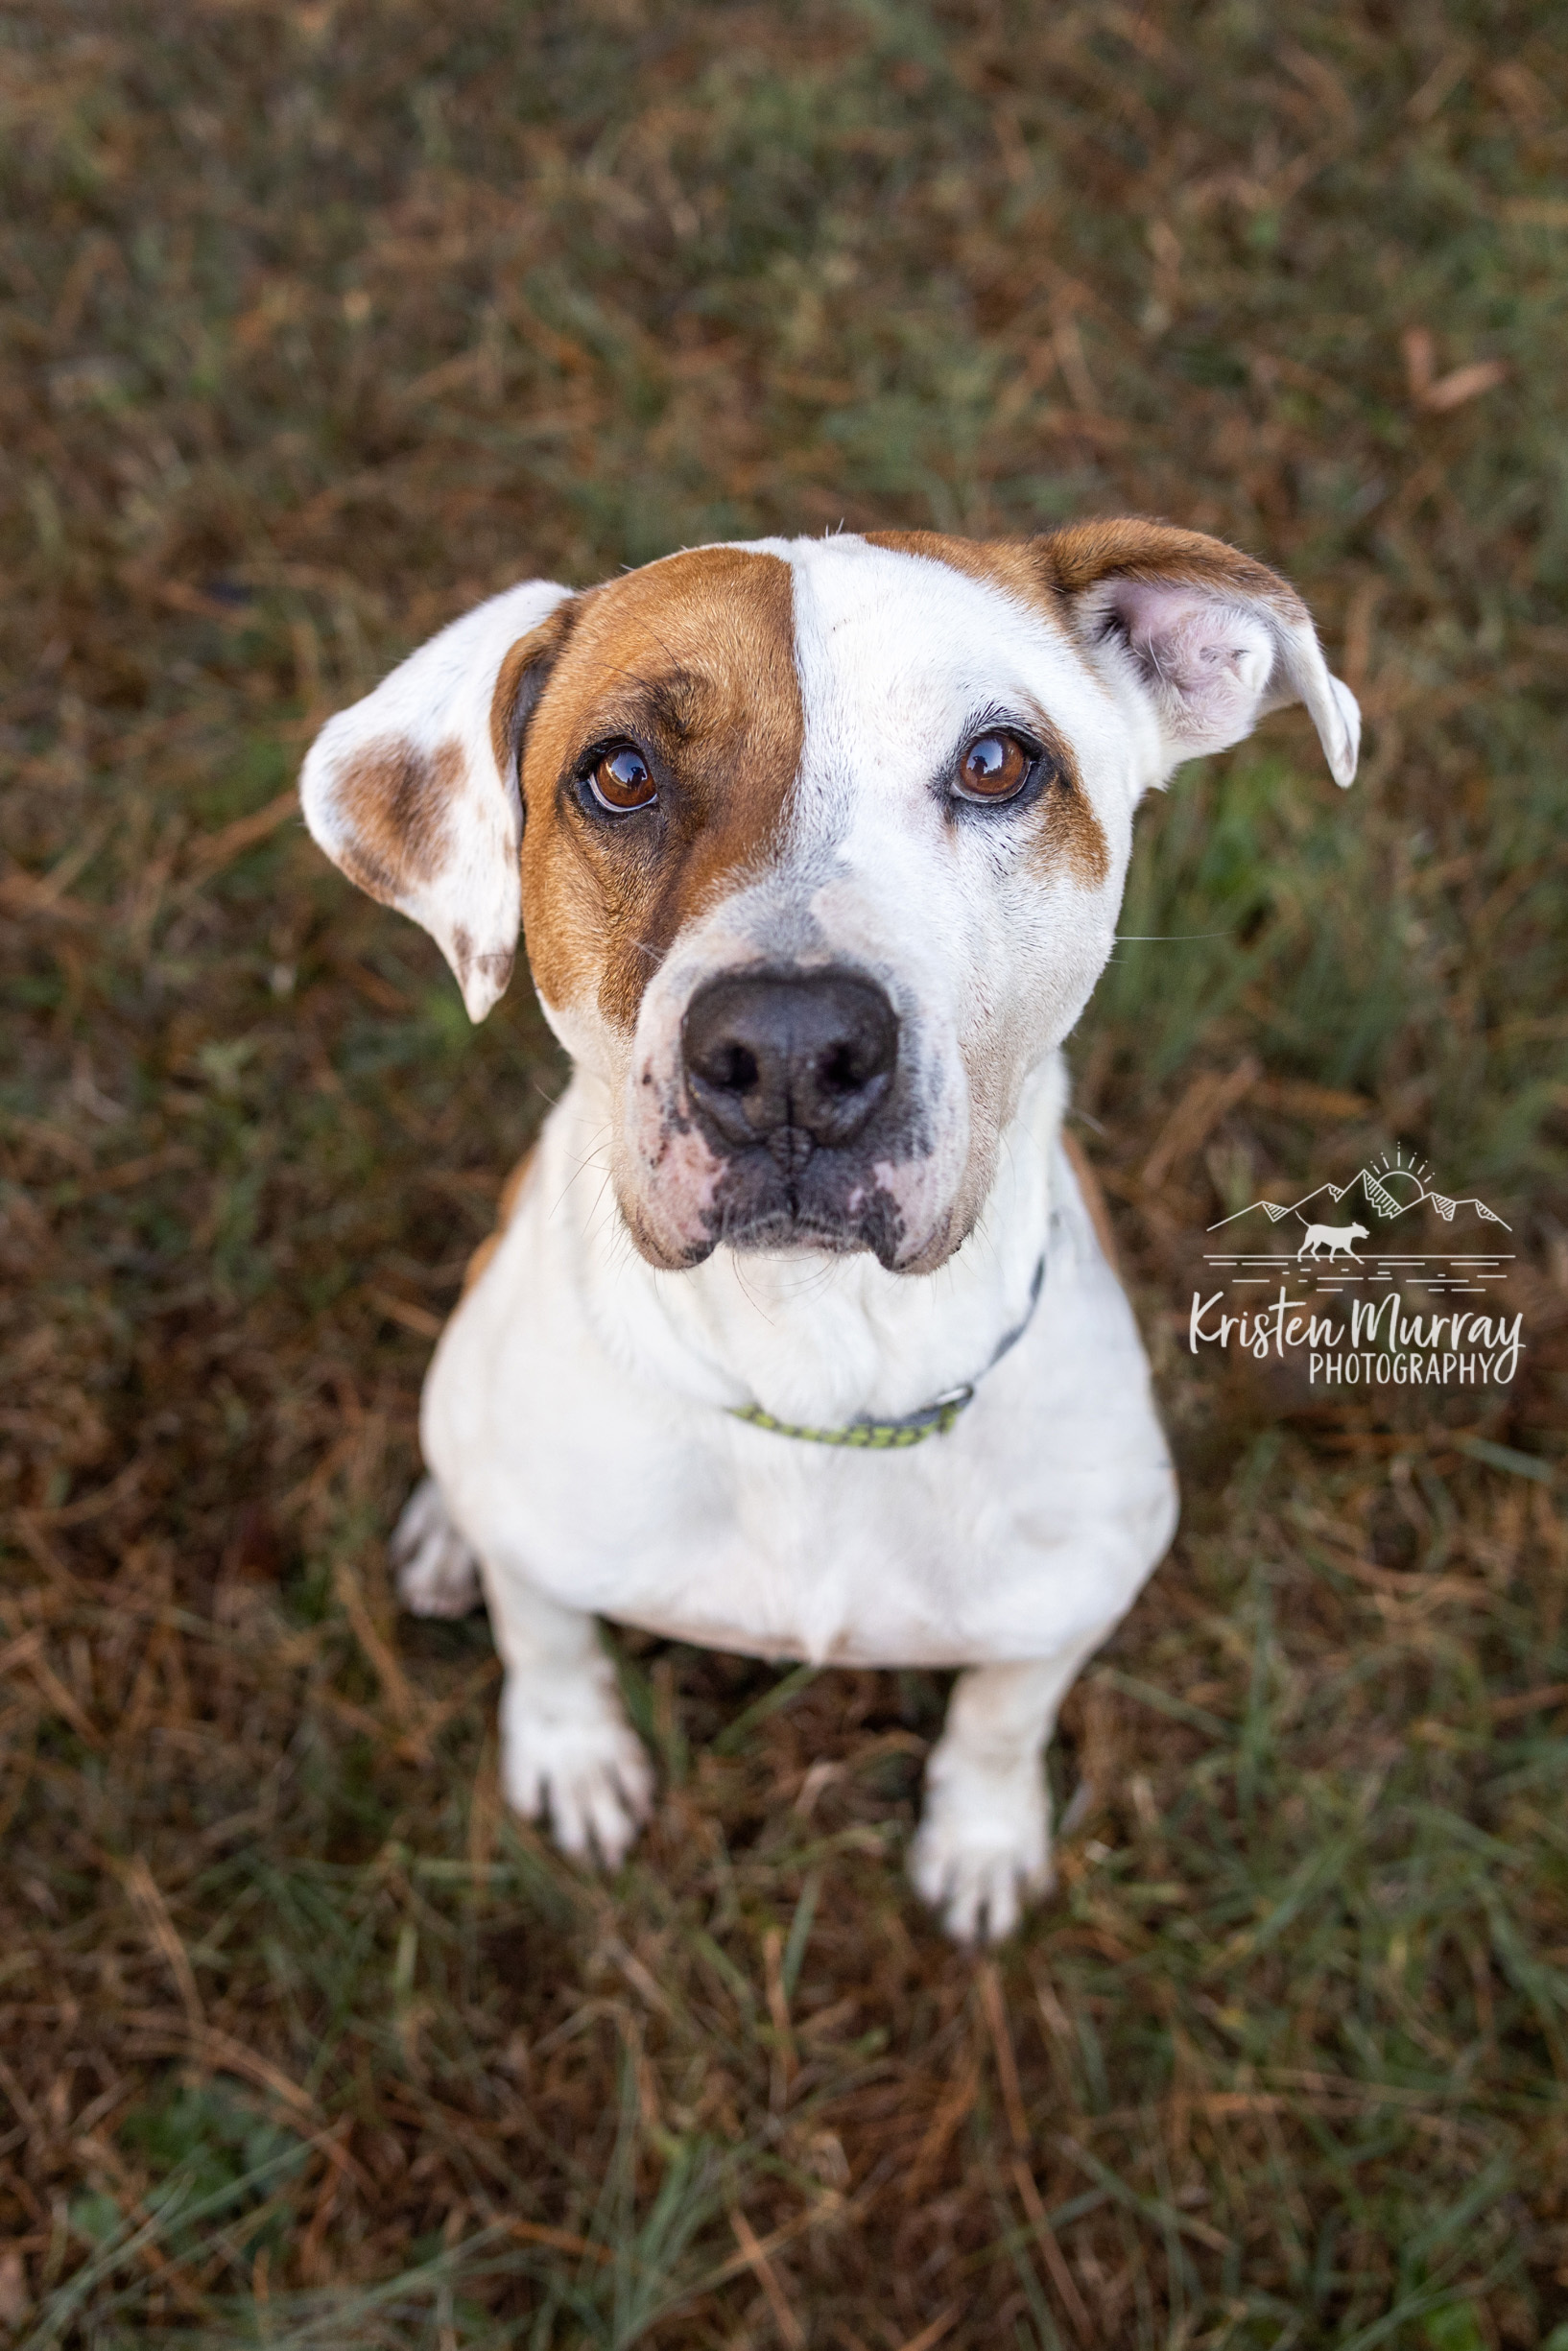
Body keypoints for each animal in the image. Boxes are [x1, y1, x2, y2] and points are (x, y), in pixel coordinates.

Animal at [300, 524, 1354, 1936]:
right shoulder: (545, 1553)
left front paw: (980, 1835)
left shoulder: (1073, 1587)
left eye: (996, 762)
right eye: (619, 774)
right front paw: (572, 1754)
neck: (816, 1363)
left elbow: (1003, 1711)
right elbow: (548, 1636)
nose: (791, 1053)